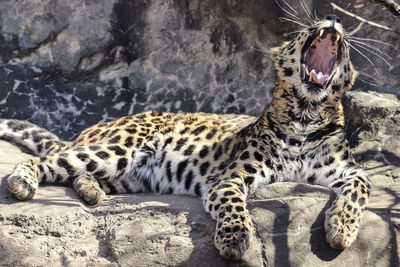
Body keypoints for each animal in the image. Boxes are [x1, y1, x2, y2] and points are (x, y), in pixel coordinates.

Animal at [0, 14, 370, 262]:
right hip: (117, 148)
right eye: (302, 32)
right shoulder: (231, 177)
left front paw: (341, 229)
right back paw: (23, 182)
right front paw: (234, 240)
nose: (333, 17)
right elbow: (234, 205)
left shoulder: (350, 171)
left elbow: (358, 190)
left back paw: (92, 191)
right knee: (47, 160)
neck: (306, 115)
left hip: (131, 178)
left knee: (79, 174)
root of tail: (94, 128)